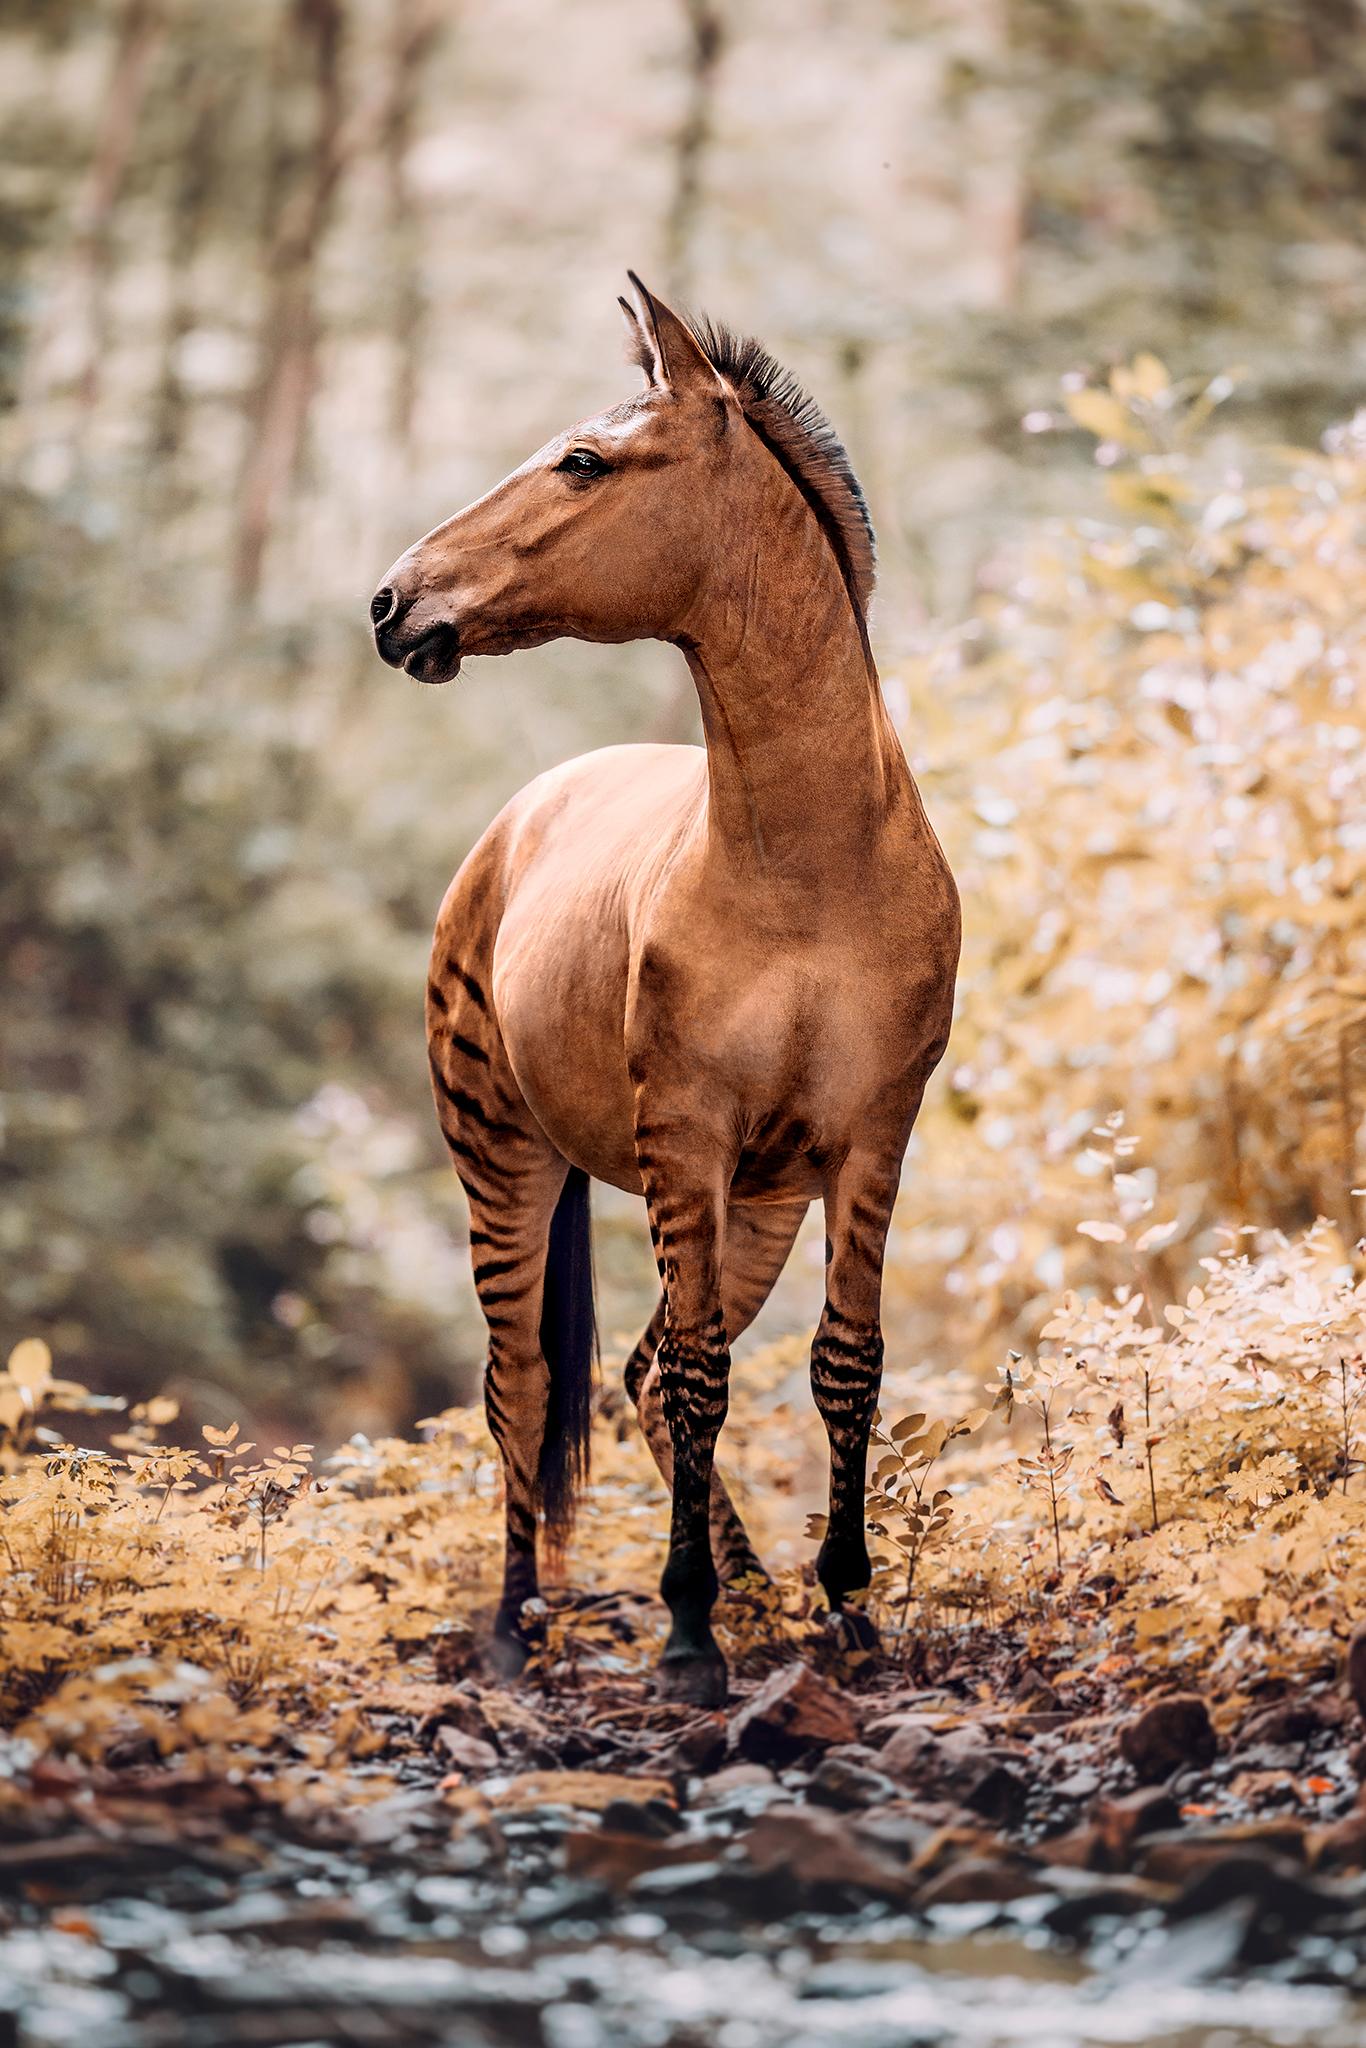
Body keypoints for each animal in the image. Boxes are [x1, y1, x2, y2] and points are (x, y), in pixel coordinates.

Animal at [368, 276, 958, 1712]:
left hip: (763, 1201)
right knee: (527, 1383)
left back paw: (750, 1590)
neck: (809, 863)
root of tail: (521, 815)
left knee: (629, 1373)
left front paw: (845, 1612)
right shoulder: (682, 1140)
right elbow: (697, 1379)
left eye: (584, 462)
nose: (393, 602)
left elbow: (840, 1363)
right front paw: (686, 1634)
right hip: (501, 1156)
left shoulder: (869, 1139)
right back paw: (519, 1624)